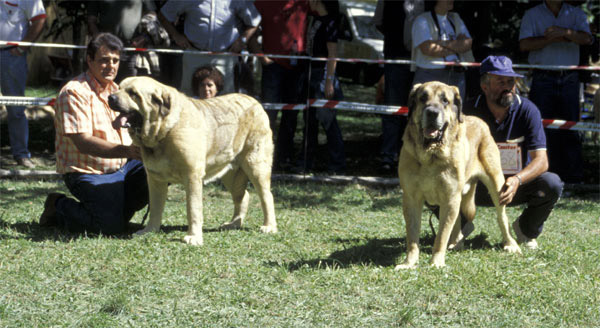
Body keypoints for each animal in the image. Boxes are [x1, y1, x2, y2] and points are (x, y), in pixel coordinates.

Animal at [108, 77, 276, 245]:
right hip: (231, 175)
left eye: (133, 93)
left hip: (255, 166)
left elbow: (193, 208)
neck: (164, 133)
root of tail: (255, 102)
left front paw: (194, 237)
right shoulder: (155, 179)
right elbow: (155, 208)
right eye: (118, 88)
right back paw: (234, 223)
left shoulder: (192, 176)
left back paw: (269, 226)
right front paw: (149, 231)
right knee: (242, 196)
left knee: (266, 196)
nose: (111, 97)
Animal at [396, 80, 516, 268]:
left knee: (501, 216)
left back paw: (511, 244)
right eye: (423, 98)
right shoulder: (411, 198)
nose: (432, 112)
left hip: (497, 185)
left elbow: (441, 235)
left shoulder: (449, 197)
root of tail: (480, 121)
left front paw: (436, 262)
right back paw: (456, 243)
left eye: (445, 100)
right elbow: (413, 236)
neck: (431, 155)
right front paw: (409, 262)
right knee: (458, 219)